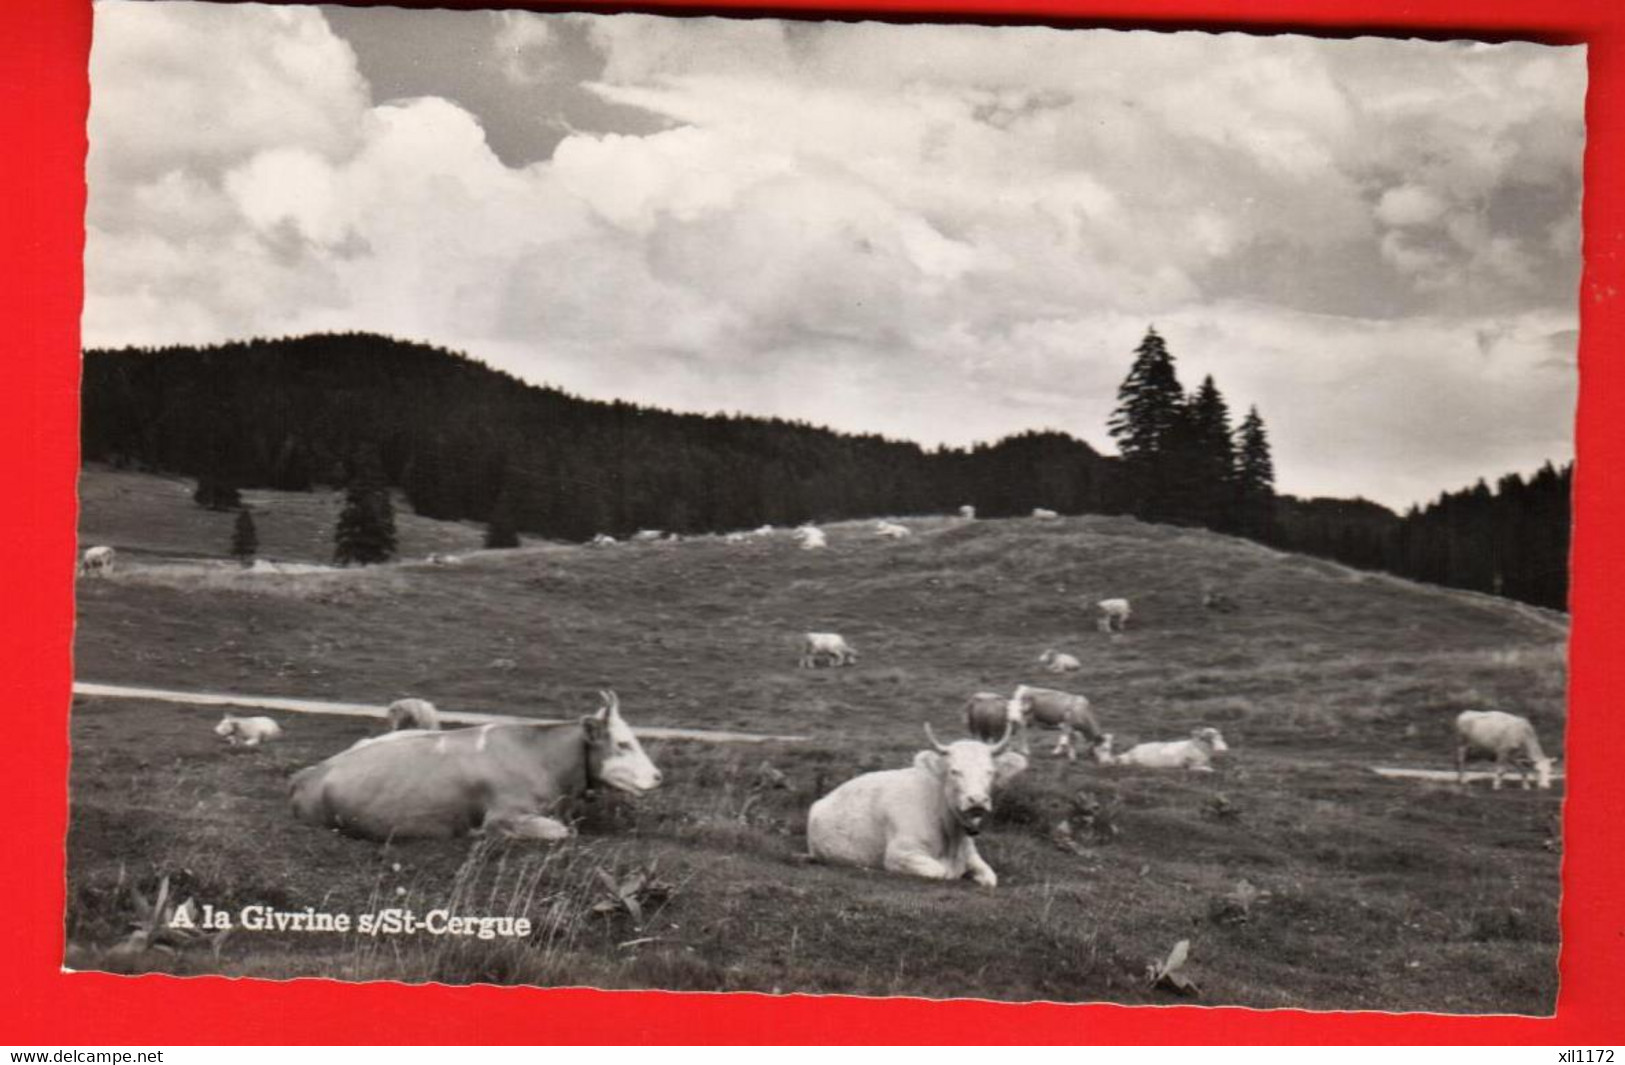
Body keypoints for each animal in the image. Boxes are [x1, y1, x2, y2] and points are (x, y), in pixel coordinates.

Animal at [809, 725, 1027, 891]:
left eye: (990, 772)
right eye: (954, 771)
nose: (977, 800)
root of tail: (822, 800)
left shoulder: (972, 855)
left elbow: (991, 878)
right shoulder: (899, 854)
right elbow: (941, 871)